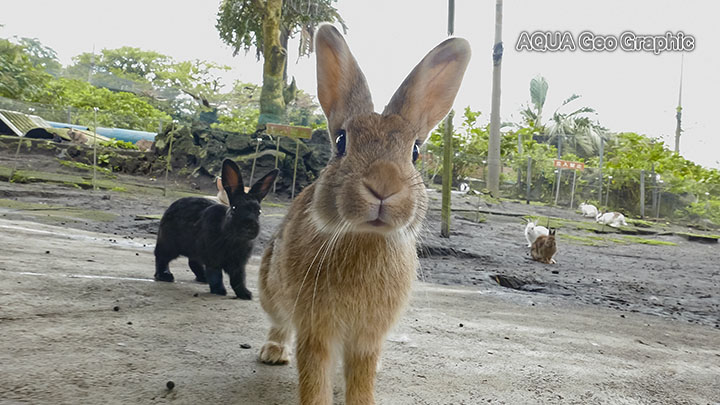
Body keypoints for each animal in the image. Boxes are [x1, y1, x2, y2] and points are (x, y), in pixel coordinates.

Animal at [155, 159, 278, 298]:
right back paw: (165, 276)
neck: (234, 238)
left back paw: (203, 278)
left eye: (259, 211)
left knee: (193, 262)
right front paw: (220, 291)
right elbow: (216, 275)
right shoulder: (213, 259)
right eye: (234, 208)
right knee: (161, 257)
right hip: (169, 244)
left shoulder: (238, 265)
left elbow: (238, 279)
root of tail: (172, 206)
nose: (249, 226)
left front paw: (245, 294)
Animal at [256, 25, 470, 404]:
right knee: (279, 322)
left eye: (415, 152)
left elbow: (362, 378)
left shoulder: (367, 340)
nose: (383, 185)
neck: (366, 238)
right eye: (341, 142)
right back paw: (273, 351)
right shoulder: (316, 331)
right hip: (272, 291)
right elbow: (314, 379)